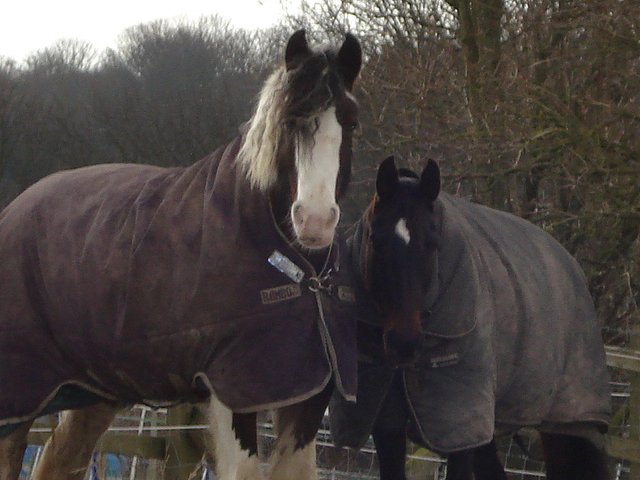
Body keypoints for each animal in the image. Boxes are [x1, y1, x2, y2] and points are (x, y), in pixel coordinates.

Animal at [0, 30, 362, 480]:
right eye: (288, 120)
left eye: (350, 120)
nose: (314, 220)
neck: (298, 273)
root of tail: (15, 208)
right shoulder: (233, 394)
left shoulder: (305, 395)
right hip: (19, 398)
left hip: (90, 393)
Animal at [329, 156, 612, 480]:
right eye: (376, 240)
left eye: (432, 243)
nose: (404, 342)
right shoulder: (391, 422)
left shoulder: (459, 426)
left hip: (571, 425)